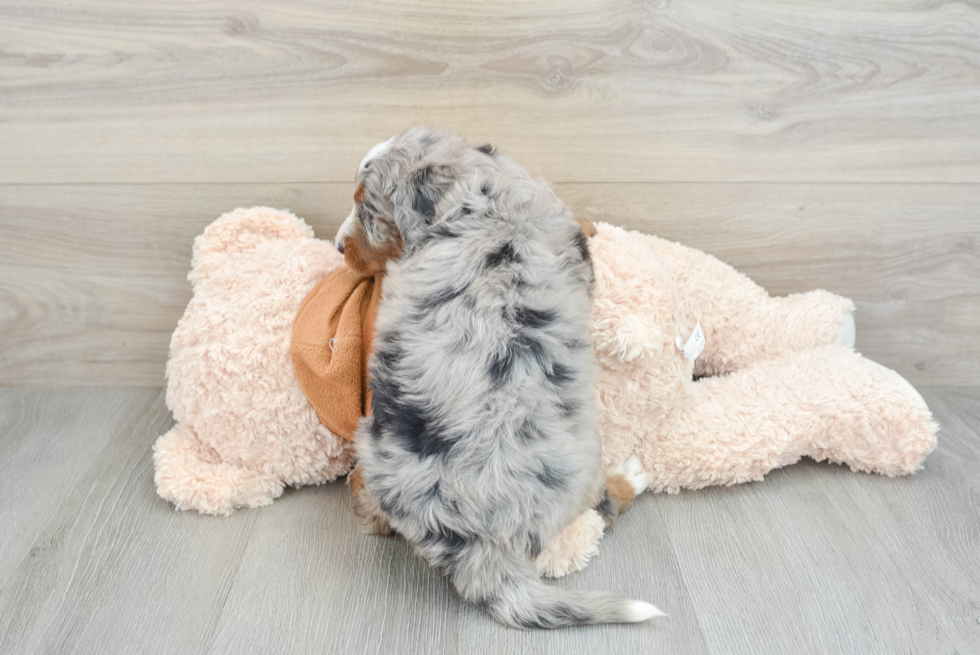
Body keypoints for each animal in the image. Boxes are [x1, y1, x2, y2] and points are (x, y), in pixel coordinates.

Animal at [334, 128, 664, 632]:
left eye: (367, 210)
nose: (336, 247)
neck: (480, 199)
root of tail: (472, 541)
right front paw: (591, 223)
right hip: (584, 461)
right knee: (604, 507)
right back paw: (630, 477)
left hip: (373, 445)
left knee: (375, 514)